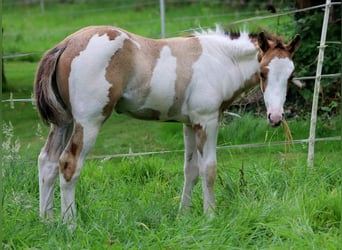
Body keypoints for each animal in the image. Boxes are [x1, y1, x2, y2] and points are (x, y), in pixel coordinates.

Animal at [34, 24, 300, 221]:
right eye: (263, 72)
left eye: (291, 75)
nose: (275, 117)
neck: (220, 61)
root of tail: (66, 44)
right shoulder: (207, 121)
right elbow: (209, 169)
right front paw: (210, 216)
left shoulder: (190, 124)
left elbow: (191, 170)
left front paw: (183, 216)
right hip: (89, 122)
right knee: (69, 164)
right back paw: (70, 225)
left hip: (63, 122)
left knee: (47, 162)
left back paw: (47, 222)